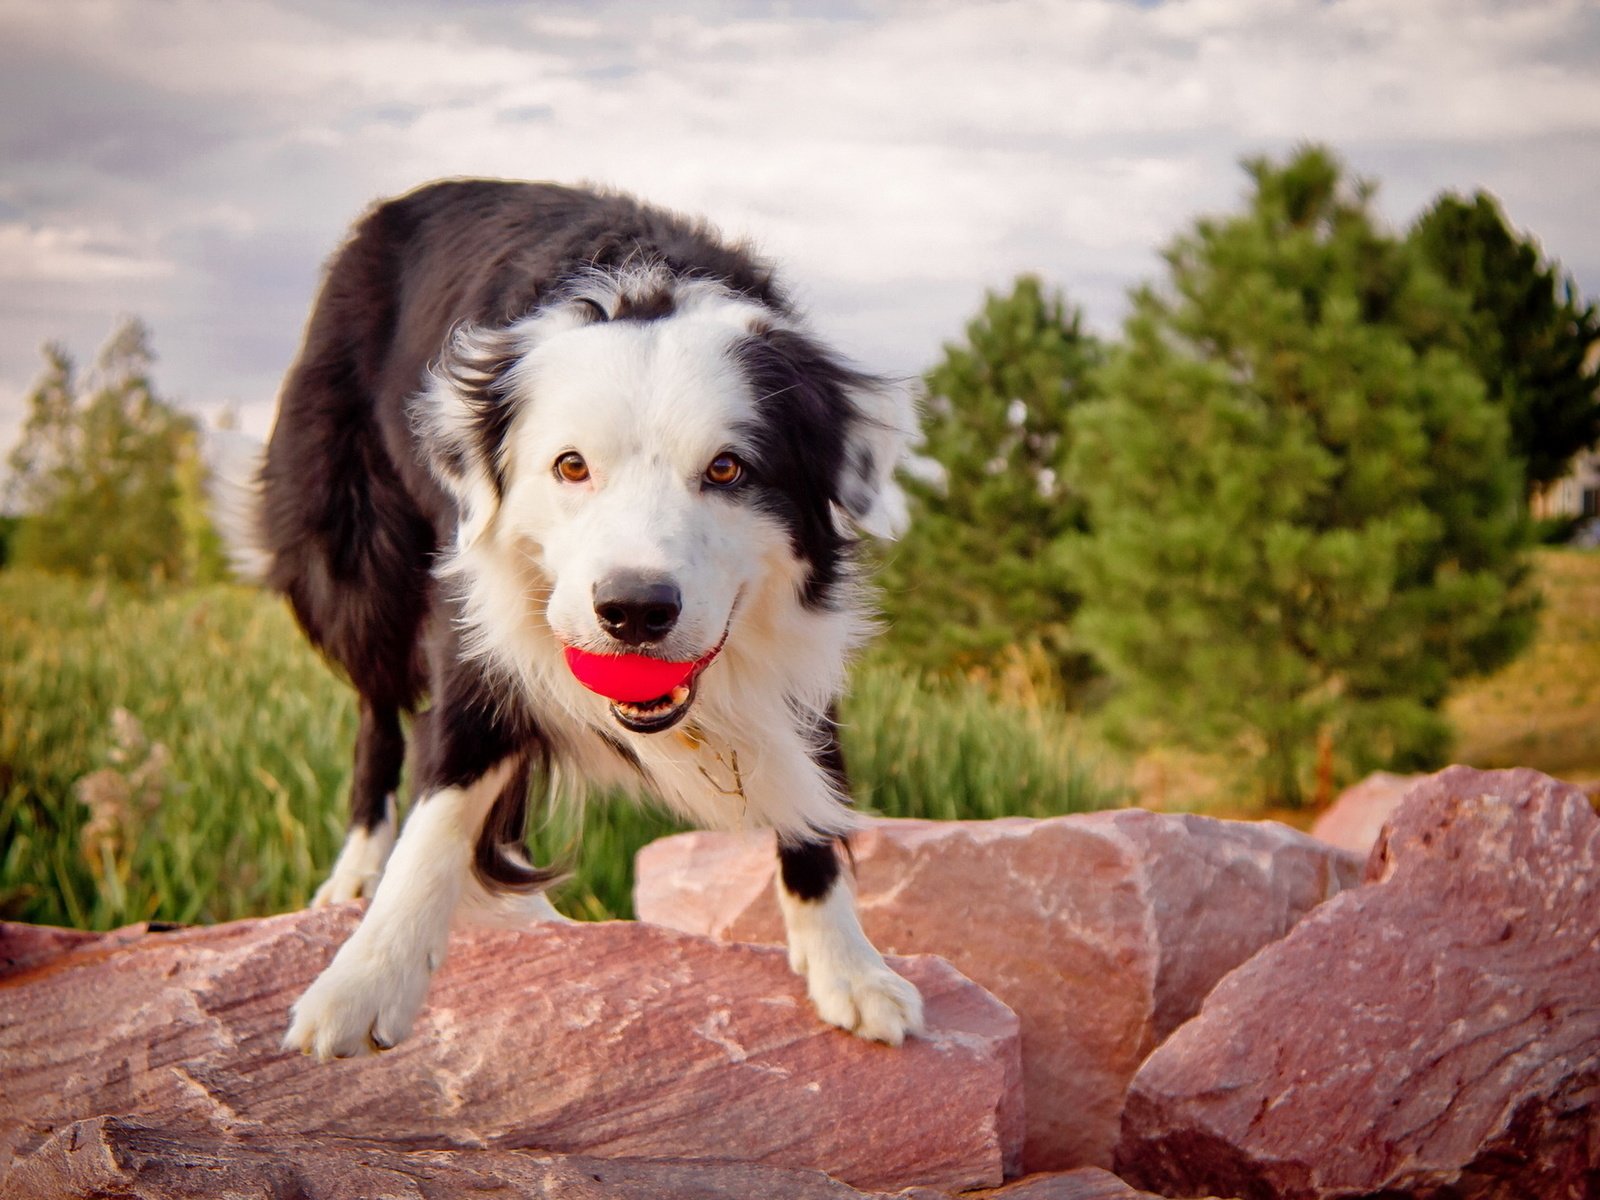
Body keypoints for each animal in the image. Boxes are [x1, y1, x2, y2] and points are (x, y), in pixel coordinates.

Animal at [228, 178, 928, 1062]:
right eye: (571, 466)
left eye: (727, 469)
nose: (635, 611)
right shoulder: (472, 618)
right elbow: (444, 794)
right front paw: (365, 981)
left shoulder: (796, 640)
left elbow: (815, 785)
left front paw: (848, 965)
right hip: (354, 561)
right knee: (379, 712)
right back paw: (358, 866)